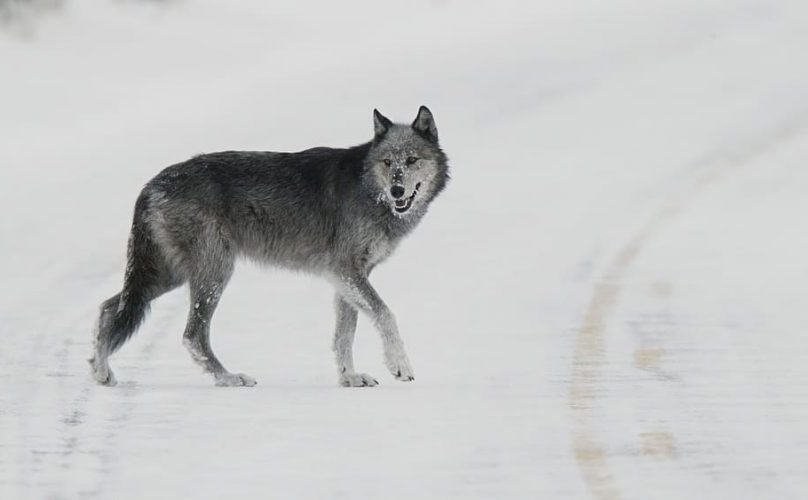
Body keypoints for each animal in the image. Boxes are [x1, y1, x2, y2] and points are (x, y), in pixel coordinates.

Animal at [89, 106, 449, 387]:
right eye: (388, 162)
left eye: (411, 160)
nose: (398, 191)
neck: (368, 189)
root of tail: (151, 184)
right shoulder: (345, 270)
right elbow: (385, 314)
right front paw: (399, 365)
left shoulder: (348, 277)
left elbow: (345, 333)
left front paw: (349, 377)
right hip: (212, 274)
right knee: (192, 335)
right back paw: (229, 378)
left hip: (169, 276)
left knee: (108, 307)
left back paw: (101, 372)